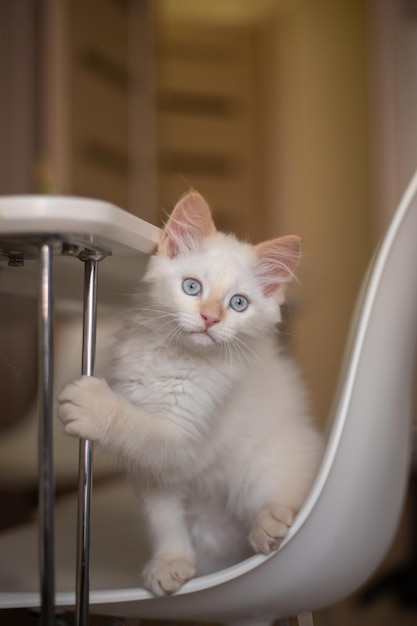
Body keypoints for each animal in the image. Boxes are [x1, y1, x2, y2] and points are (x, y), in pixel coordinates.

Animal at [57, 189, 322, 596]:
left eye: (238, 303)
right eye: (192, 287)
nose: (210, 318)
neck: (174, 357)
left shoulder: (187, 437)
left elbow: (139, 427)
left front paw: (93, 407)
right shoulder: (151, 475)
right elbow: (163, 520)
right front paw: (171, 563)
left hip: (271, 461)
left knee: (283, 493)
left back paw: (270, 524)